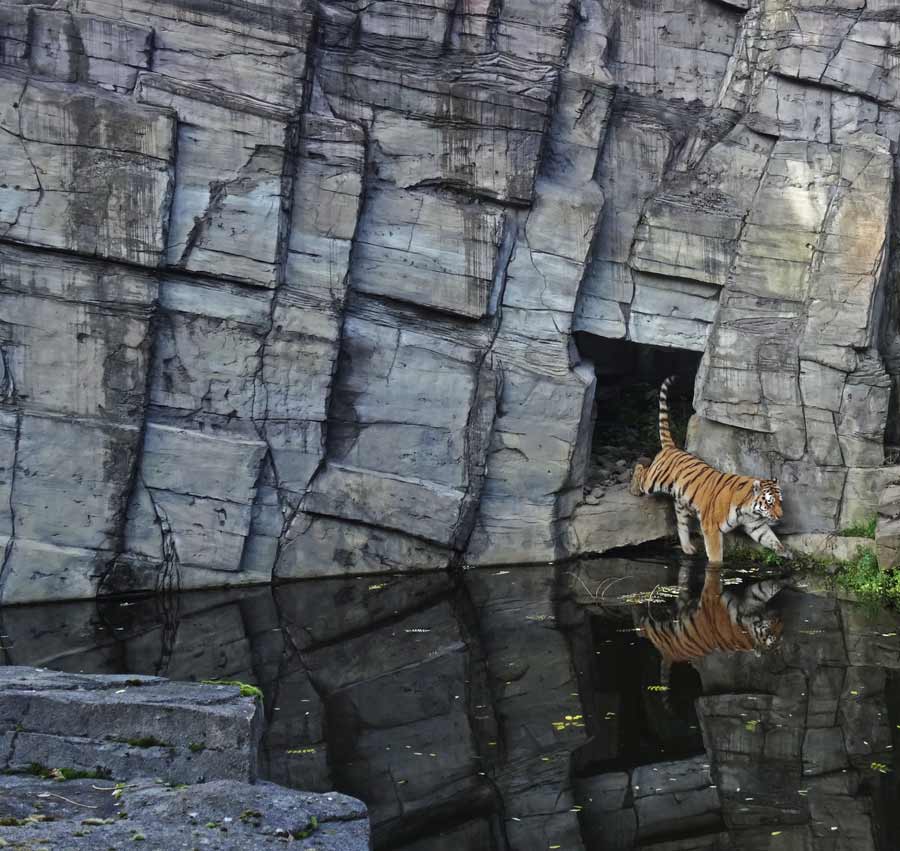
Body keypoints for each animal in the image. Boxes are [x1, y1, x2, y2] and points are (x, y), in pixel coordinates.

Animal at [628, 378, 792, 564]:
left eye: (780, 502)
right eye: (770, 503)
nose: (780, 516)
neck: (747, 508)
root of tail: (672, 447)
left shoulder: (755, 524)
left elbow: (770, 537)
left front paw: (785, 551)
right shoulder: (711, 527)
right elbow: (715, 554)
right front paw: (716, 566)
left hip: (681, 503)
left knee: (681, 525)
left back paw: (687, 548)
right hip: (653, 480)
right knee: (642, 470)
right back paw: (634, 487)